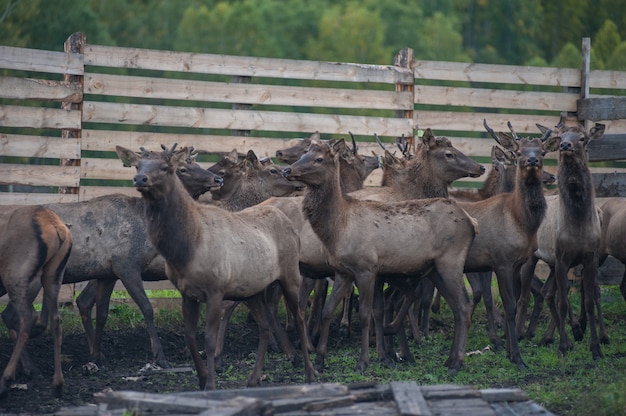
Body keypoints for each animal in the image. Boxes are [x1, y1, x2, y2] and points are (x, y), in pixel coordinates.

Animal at [0, 205, 71, 396]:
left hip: (14, 275)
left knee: (27, 317)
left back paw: (7, 378)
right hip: (53, 276)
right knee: (56, 321)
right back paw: (57, 383)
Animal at [114, 144, 314, 390]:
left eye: (165, 167)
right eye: (137, 166)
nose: (140, 178)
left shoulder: (217, 290)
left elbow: (209, 337)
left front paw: (211, 378)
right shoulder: (189, 293)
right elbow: (191, 335)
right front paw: (203, 375)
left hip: (288, 277)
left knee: (298, 317)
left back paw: (308, 372)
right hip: (253, 289)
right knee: (266, 325)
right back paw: (255, 377)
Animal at [280, 139, 476, 374]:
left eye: (318, 159)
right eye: (303, 154)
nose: (287, 170)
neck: (338, 229)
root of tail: (471, 222)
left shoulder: (366, 268)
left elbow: (366, 314)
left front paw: (363, 361)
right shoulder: (342, 271)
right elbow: (327, 310)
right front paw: (320, 360)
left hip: (451, 261)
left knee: (465, 305)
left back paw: (456, 362)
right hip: (435, 268)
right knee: (457, 307)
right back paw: (450, 359)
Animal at [512, 118, 604, 360]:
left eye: (583, 138)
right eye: (561, 136)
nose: (565, 146)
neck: (578, 222)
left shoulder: (589, 258)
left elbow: (588, 301)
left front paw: (595, 348)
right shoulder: (562, 258)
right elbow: (563, 302)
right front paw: (563, 347)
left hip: (552, 263)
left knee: (547, 292)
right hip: (533, 258)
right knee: (524, 295)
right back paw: (520, 333)